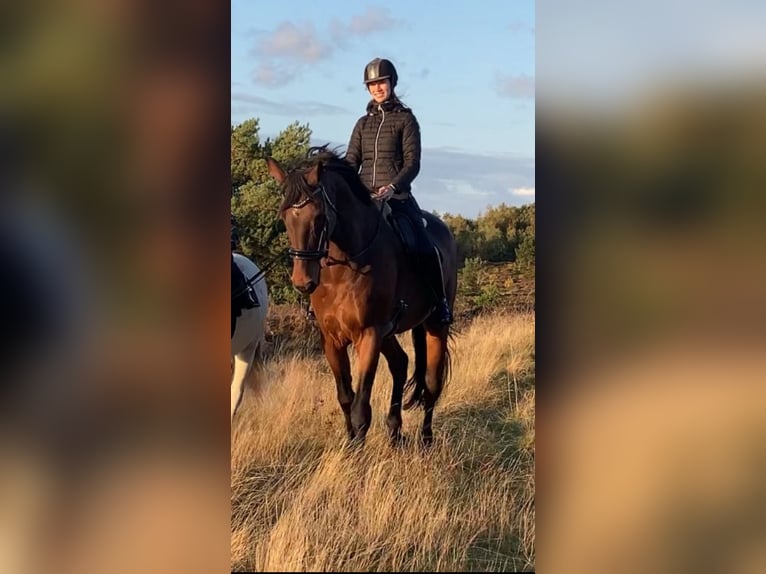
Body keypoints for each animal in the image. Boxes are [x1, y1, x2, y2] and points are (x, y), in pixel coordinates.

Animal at [268, 147, 456, 446]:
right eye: (284, 217)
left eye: (319, 217)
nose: (302, 282)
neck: (344, 267)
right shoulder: (332, 340)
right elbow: (346, 397)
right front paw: (350, 444)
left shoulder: (369, 335)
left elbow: (361, 407)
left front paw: (357, 451)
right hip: (390, 332)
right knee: (401, 364)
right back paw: (394, 430)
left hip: (435, 325)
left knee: (431, 383)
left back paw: (426, 439)